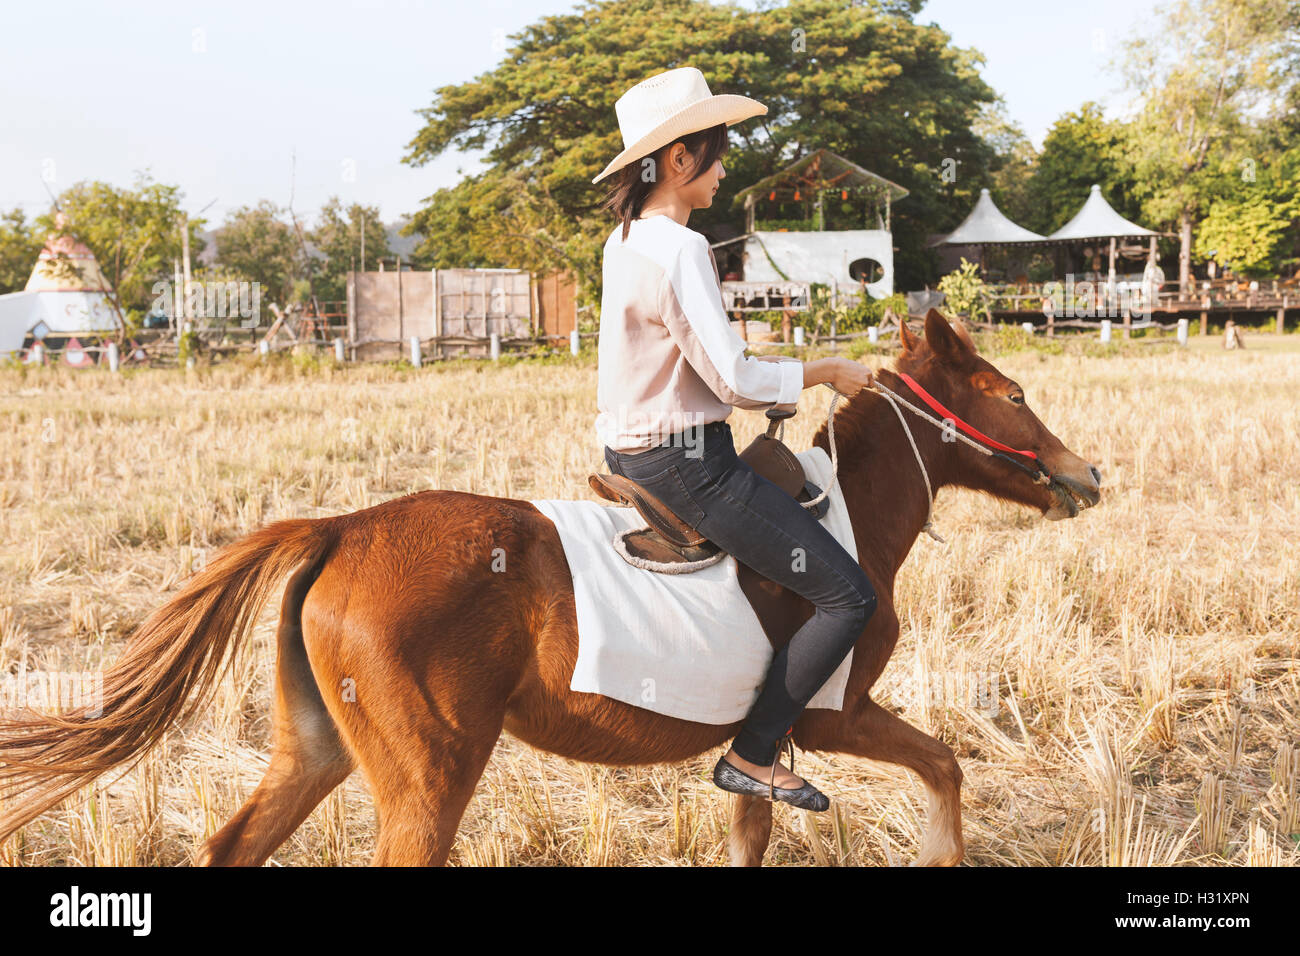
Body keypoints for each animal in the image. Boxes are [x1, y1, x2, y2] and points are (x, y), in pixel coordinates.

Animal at [0, 310, 1097, 863]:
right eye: (1011, 393)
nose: (1084, 473)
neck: (844, 514)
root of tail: (343, 529)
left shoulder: (762, 748)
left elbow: (753, 828)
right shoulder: (833, 711)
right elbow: (944, 765)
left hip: (314, 748)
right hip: (429, 775)